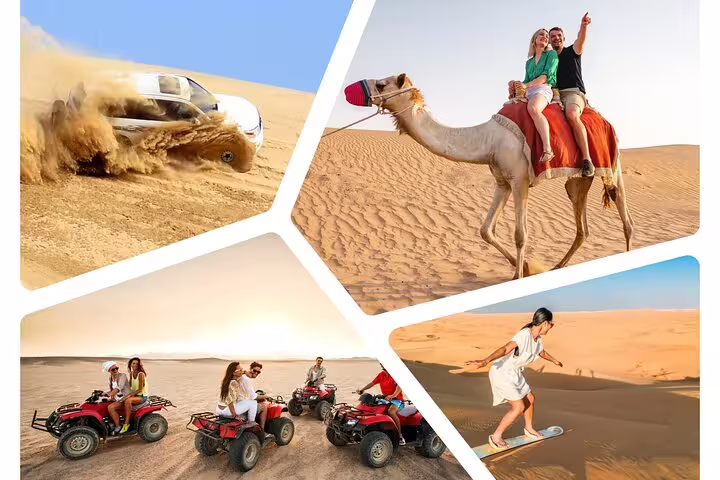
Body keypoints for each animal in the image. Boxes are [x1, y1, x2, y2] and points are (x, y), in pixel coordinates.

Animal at [359, 74, 634, 280]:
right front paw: (524, 268)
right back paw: (558, 265)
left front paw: (520, 274)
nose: (364, 90)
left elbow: (520, 235)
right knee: (582, 225)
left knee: (623, 213)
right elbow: (485, 230)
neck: (488, 139)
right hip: (578, 179)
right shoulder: (503, 182)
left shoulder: (520, 180)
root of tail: (605, 120)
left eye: (382, 84)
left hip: (613, 162)